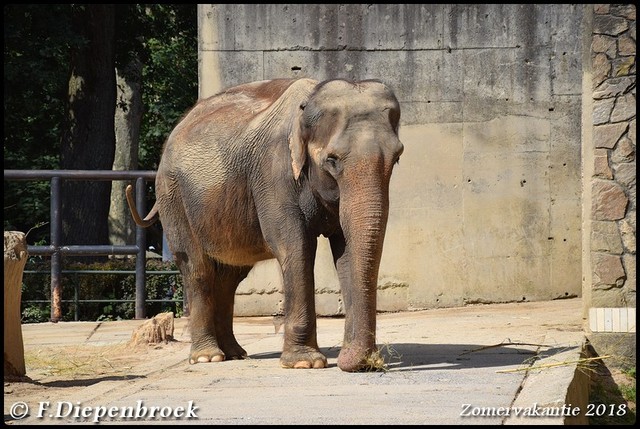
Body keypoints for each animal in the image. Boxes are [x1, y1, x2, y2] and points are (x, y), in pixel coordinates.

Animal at [127, 77, 402, 372]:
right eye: (332, 160)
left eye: (397, 157)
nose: (359, 361)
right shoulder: (273, 174)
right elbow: (295, 246)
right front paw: (305, 363)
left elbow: (347, 251)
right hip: (174, 197)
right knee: (198, 270)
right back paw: (208, 357)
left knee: (230, 277)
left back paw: (235, 353)